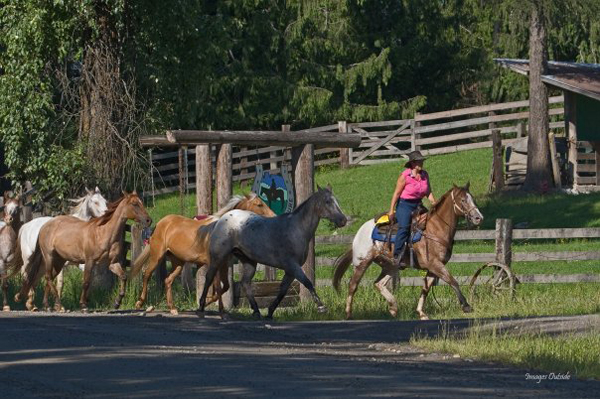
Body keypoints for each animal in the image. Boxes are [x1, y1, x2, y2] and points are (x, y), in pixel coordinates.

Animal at [12, 192, 150, 310]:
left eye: (141, 202)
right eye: (134, 204)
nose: (149, 220)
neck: (103, 233)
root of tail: (43, 226)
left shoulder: (112, 263)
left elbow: (123, 277)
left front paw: (117, 303)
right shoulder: (89, 261)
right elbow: (86, 282)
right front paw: (83, 305)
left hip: (59, 261)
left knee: (46, 278)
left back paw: (47, 305)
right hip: (48, 257)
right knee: (45, 277)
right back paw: (56, 304)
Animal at [130, 193, 276, 316]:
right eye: (259, 204)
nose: (274, 216)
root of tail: (161, 223)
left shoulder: (223, 265)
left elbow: (224, 287)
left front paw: (208, 304)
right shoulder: (214, 263)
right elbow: (217, 286)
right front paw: (214, 308)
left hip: (178, 263)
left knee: (168, 280)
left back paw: (172, 308)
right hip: (157, 256)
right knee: (147, 274)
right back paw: (139, 303)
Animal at [197, 186, 346, 320]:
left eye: (337, 201)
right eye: (327, 201)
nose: (343, 220)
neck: (296, 229)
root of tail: (221, 219)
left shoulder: (290, 271)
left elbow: (282, 291)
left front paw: (269, 312)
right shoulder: (293, 265)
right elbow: (307, 282)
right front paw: (321, 307)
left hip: (249, 262)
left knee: (245, 283)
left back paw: (256, 311)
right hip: (218, 257)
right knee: (209, 277)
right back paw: (201, 307)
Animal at [330, 185, 486, 322]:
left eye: (472, 198)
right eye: (463, 200)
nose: (479, 218)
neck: (434, 229)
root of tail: (360, 232)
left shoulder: (433, 268)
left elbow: (426, 288)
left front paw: (421, 313)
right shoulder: (435, 264)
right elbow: (452, 281)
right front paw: (466, 306)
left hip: (390, 265)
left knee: (379, 283)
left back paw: (393, 307)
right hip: (363, 262)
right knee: (353, 285)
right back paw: (349, 314)